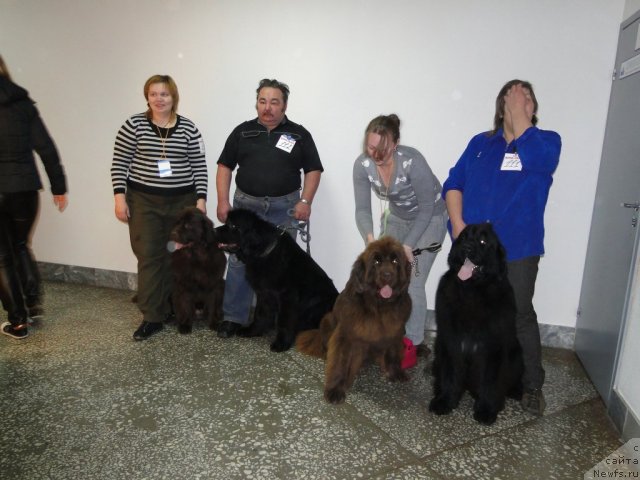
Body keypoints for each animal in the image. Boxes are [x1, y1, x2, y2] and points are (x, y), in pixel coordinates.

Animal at [170, 208, 228, 336]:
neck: (196, 256)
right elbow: (185, 306)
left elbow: (212, 306)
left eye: (187, 225)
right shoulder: (184, 285)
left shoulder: (214, 285)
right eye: (177, 223)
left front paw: (213, 323)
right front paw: (185, 325)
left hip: (222, 284)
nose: (172, 234)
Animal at [215, 207, 340, 352]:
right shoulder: (264, 293)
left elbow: (284, 321)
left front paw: (281, 343)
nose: (214, 230)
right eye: (226, 222)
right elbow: (260, 314)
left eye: (233, 226)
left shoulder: (287, 297)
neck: (264, 253)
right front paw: (253, 331)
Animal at [296, 238, 410, 404]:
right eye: (376, 261)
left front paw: (395, 371)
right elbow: (339, 362)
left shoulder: (396, 330)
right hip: (327, 320)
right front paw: (335, 390)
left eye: (395, 261)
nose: (387, 275)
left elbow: (393, 351)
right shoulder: (345, 335)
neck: (378, 307)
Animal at [428, 222, 524, 424]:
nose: (467, 248)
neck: (471, 290)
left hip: (517, 352)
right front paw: (445, 401)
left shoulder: (493, 347)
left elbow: (490, 381)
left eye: (483, 241)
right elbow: (449, 374)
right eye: (464, 237)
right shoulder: (450, 341)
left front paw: (486, 410)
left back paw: (517, 390)